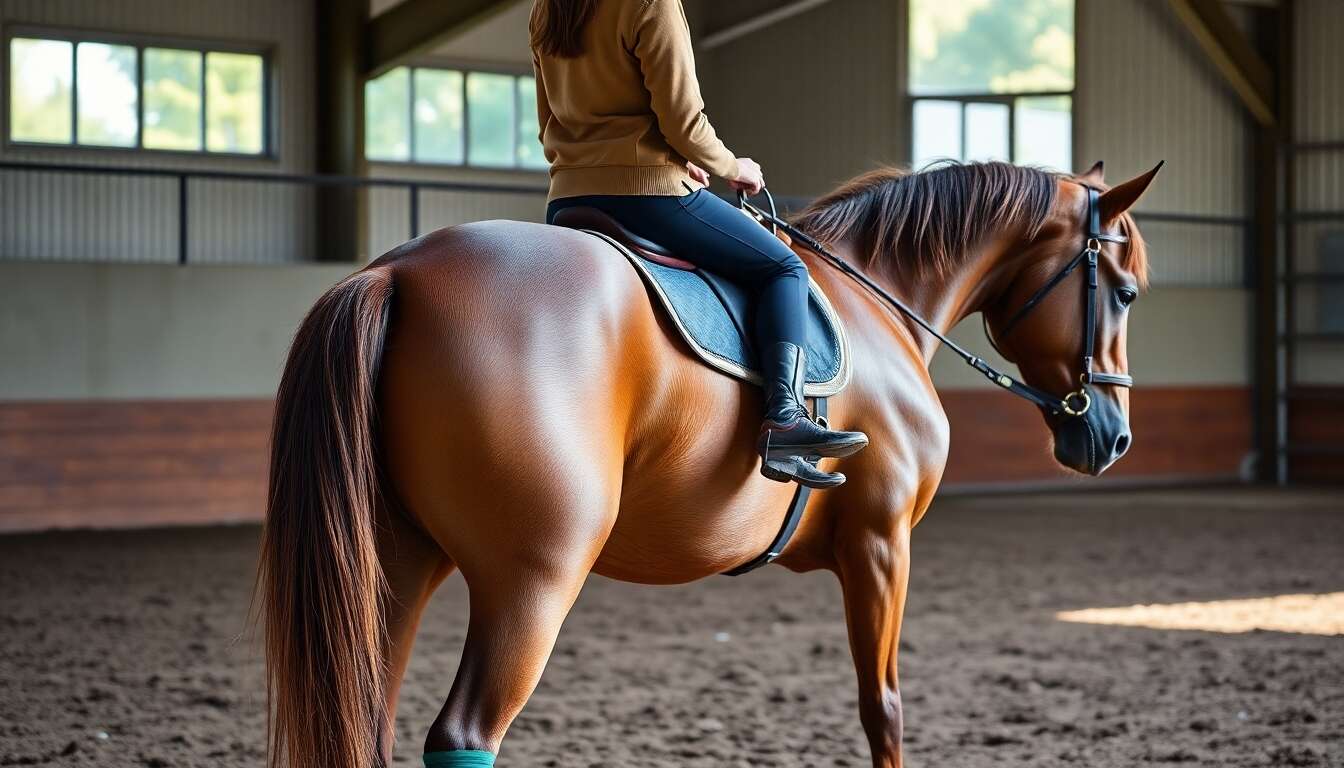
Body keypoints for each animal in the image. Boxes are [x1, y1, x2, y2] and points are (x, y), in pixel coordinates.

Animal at [259, 159, 1159, 768]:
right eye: (1124, 293)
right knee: (464, 733)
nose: (1114, 436)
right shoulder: (881, 544)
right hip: (532, 580)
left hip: (395, 562)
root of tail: (398, 272)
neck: (881, 302)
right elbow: (884, 707)